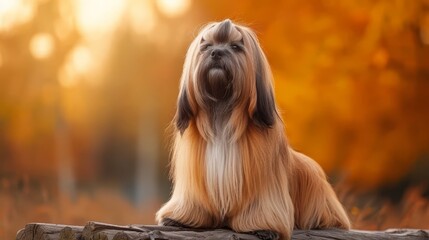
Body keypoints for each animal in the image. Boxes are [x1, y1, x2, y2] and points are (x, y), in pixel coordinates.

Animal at [155, 19, 350, 240]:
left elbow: (261, 204)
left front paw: (263, 226)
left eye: (235, 47)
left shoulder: (263, 183)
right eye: (206, 46)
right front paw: (180, 218)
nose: (216, 53)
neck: (222, 113)